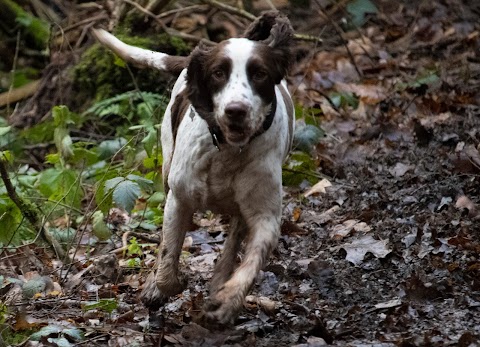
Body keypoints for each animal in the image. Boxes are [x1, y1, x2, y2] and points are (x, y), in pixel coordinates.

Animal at [93, 11, 294, 326]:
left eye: (260, 73)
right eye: (218, 73)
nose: (236, 111)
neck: (227, 151)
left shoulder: (266, 216)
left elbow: (250, 262)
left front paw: (227, 299)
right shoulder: (179, 199)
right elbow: (167, 256)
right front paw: (163, 285)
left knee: (232, 242)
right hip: (167, 165)